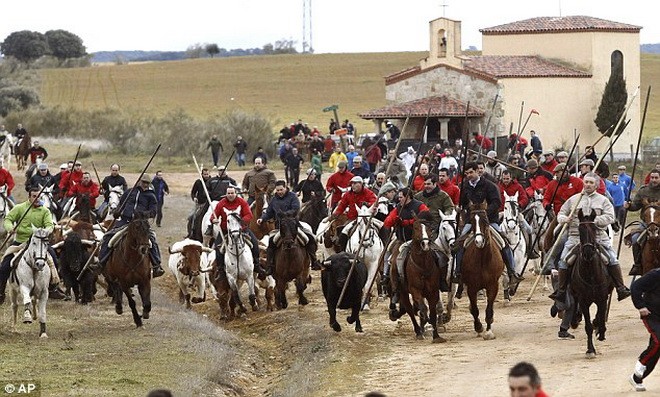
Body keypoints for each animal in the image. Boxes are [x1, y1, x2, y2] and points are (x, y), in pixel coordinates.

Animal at [394, 212, 446, 342]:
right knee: (410, 310)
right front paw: (425, 323)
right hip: (403, 292)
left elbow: (432, 312)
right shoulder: (415, 290)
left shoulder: (433, 291)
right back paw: (418, 331)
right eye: (416, 227)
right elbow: (423, 308)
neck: (422, 265)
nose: (425, 244)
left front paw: (436, 335)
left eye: (429, 228)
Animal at [458, 203, 506, 338]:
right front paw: (478, 327)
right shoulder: (471, 287)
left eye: (485, 220)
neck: (482, 259)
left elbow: (489, 309)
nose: (478, 242)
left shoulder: (493, 286)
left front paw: (488, 331)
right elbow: (474, 309)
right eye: (472, 221)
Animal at [568, 209, 612, 358]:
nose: (587, 252)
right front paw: (590, 350)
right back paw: (575, 320)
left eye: (594, 228)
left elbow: (600, 316)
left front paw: (600, 330)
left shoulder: (602, 298)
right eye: (580, 229)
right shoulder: (583, 300)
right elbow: (588, 326)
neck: (591, 274)